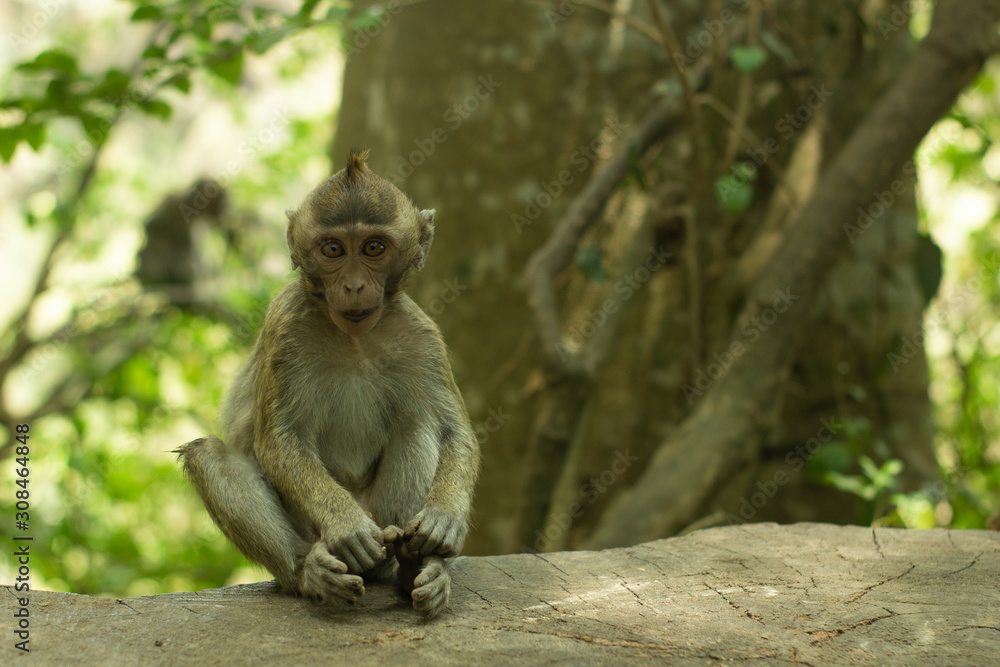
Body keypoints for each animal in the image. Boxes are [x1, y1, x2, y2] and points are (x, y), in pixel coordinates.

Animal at [177, 149, 480, 620]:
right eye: (333, 249)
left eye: (374, 248)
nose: (353, 285)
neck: (353, 338)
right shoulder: (284, 325)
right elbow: (280, 441)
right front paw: (345, 525)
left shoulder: (422, 336)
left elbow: (455, 433)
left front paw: (444, 520)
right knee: (207, 455)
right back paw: (312, 572)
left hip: (386, 524)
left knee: (417, 426)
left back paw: (415, 566)